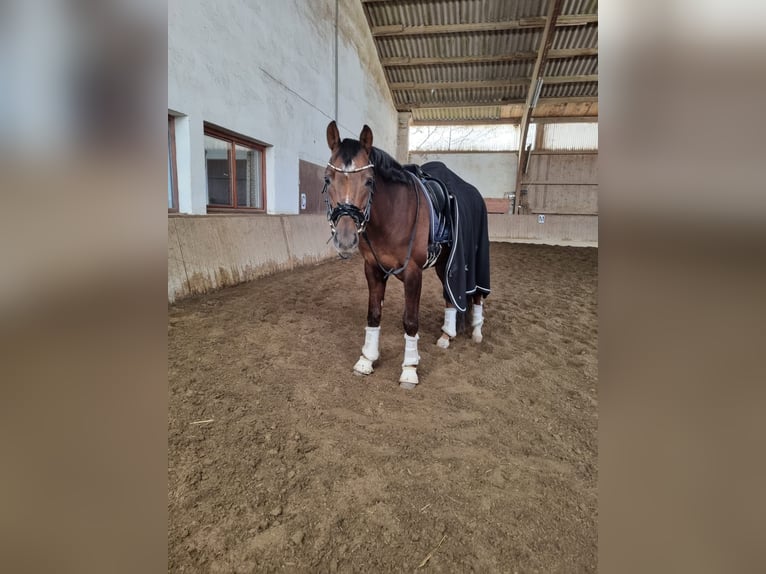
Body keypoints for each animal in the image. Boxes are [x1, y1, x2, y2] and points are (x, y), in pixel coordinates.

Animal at [324, 122, 492, 392]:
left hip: (473, 262)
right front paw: (367, 359)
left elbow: (411, 321)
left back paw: (476, 332)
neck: (393, 214)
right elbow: (373, 315)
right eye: (328, 178)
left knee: (476, 294)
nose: (346, 238)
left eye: (369, 181)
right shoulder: (373, 269)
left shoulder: (413, 272)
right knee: (449, 296)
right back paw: (446, 336)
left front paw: (409, 370)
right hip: (445, 264)